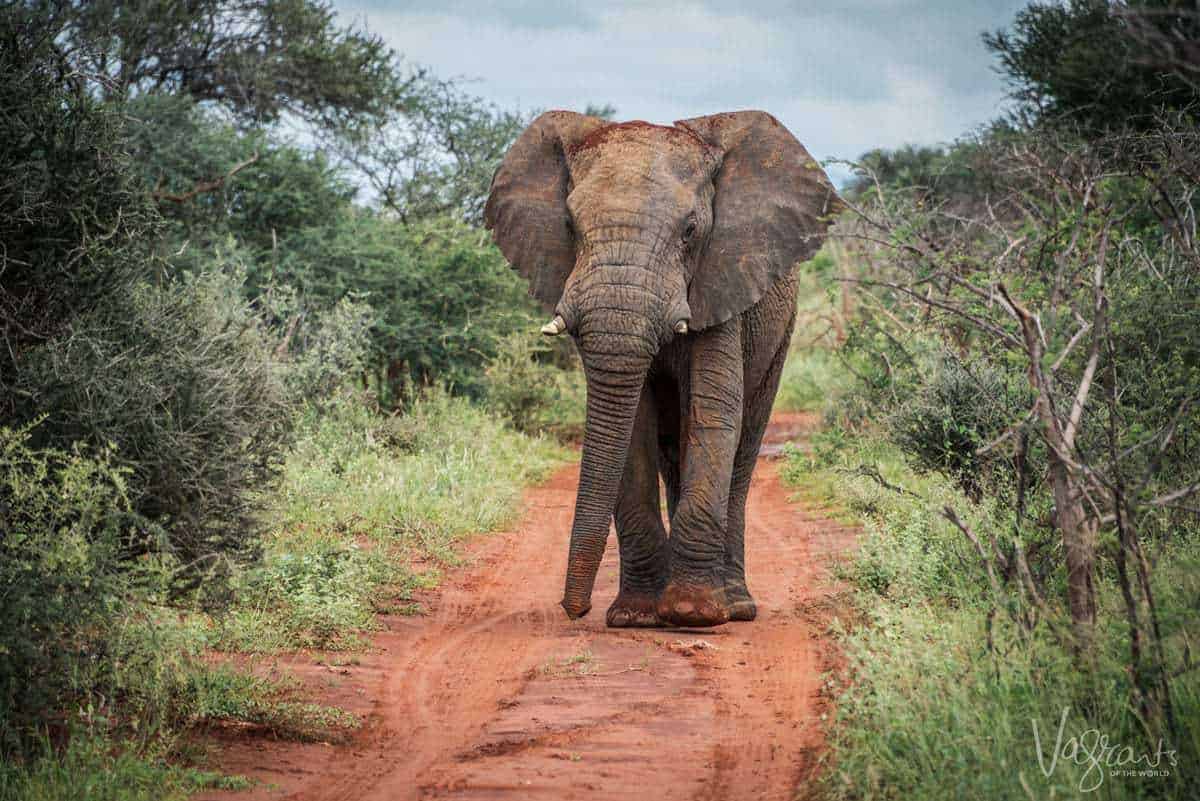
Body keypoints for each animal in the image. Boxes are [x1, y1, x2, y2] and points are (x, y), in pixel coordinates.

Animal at [482, 109, 840, 628]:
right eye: (569, 224)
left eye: (690, 230)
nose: (573, 610)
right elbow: (631, 425)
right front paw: (636, 616)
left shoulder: (721, 280)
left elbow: (713, 413)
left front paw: (693, 613)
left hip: (782, 330)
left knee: (742, 445)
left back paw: (735, 605)